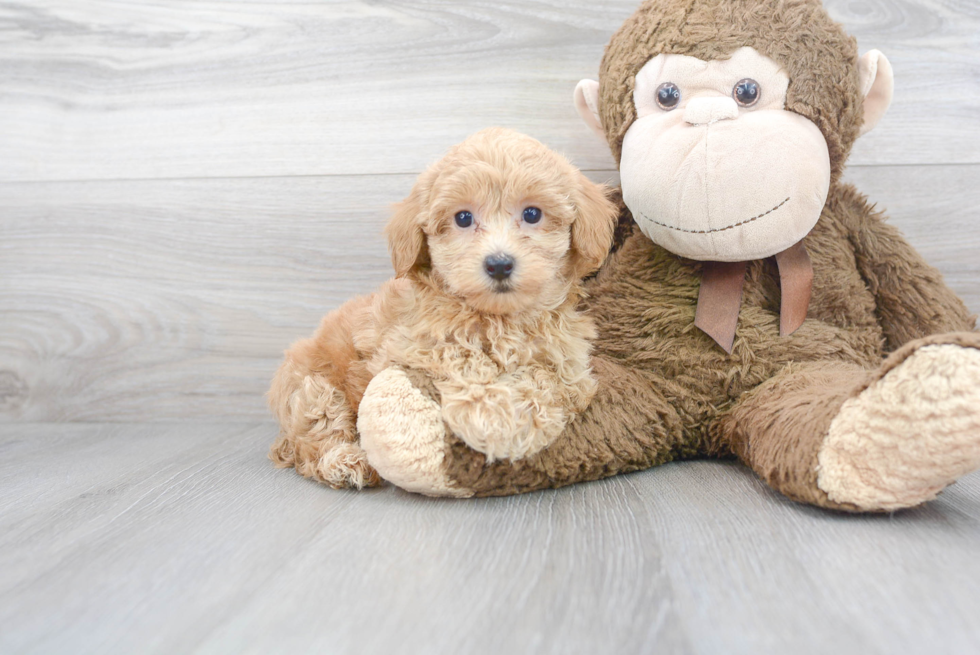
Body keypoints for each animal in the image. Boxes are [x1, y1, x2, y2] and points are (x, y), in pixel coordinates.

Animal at [268, 127, 616, 486]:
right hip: (313, 389)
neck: (500, 318)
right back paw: (346, 461)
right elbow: (459, 360)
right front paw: (491, 411)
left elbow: (552, 381)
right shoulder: (408, 348)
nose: (499, 264)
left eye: (532, 214)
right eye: (463, 218)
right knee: (316, 436)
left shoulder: (570, 365)